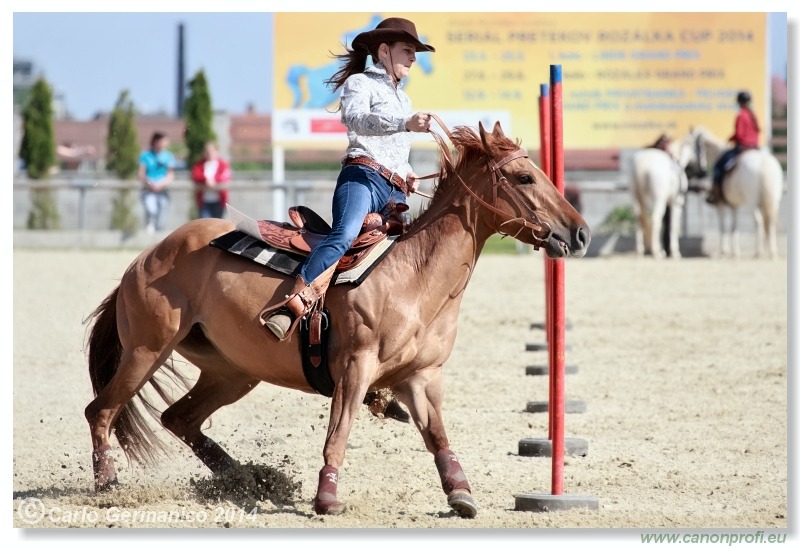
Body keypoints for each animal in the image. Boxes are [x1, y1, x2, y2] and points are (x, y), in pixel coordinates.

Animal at [84, 122, 592, 520]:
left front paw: (461, 493)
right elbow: (339, 432)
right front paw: (326, 498)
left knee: (179, 418)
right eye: (525, 176)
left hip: (232, 372)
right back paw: (107, 481)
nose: (580, 232)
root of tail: (147, 257)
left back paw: (245, 479)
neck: (414, 276)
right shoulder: (355, 368)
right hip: (148, 349)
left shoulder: (422, 377)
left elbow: (437, 436)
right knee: (102, 410)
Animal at [680, 128, 788, 260]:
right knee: (770, 222)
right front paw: (735, 252)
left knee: (759, 221)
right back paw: (771, 252)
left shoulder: (720, 204)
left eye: (690, 144)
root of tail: (764, 163)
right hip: (773, 199)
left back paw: (759, 252)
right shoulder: (734, 206)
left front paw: (724, 251)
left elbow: (723, 227)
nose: (684, 164)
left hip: (752, 201)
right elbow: (734, 227)